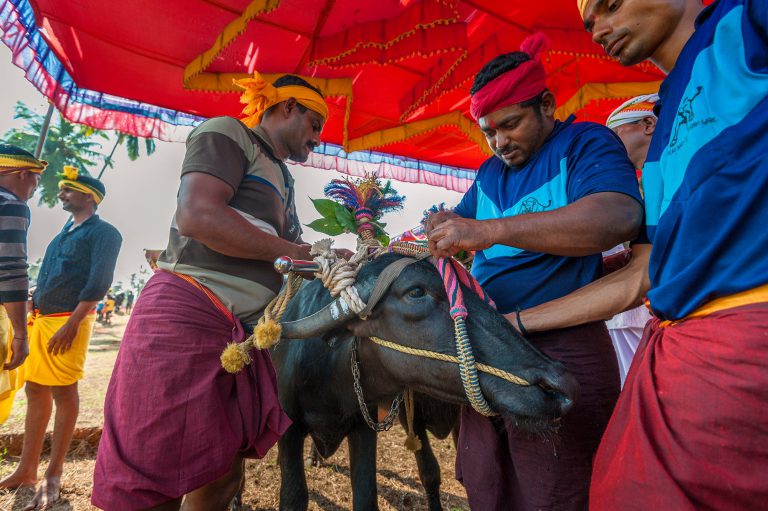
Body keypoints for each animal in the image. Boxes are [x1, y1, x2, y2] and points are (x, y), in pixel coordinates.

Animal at [270, 254, 576, 510]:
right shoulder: (289, 431)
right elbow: (293, 497)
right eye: (416, 292)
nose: (558, 383)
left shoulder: (365, 427)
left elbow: (369, 497)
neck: (328, 377)